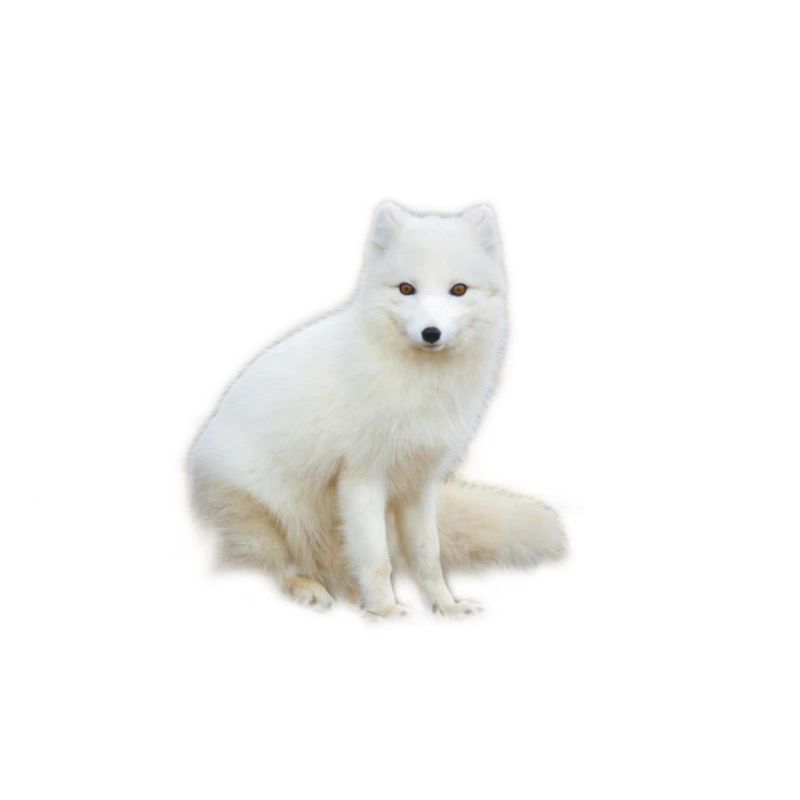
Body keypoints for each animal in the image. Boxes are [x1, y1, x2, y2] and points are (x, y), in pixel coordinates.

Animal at [188, 202, 566, 617]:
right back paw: (311, 589)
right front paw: (386, 612)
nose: (431, 333)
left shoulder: (419, 482)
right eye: (406, 288)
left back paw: (353, 595)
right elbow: (376, 559)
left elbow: (427, 555)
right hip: (259, 515)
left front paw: (446, 606)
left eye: (459, 289)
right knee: (274, 565)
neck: (421, 385)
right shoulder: (360, 476)